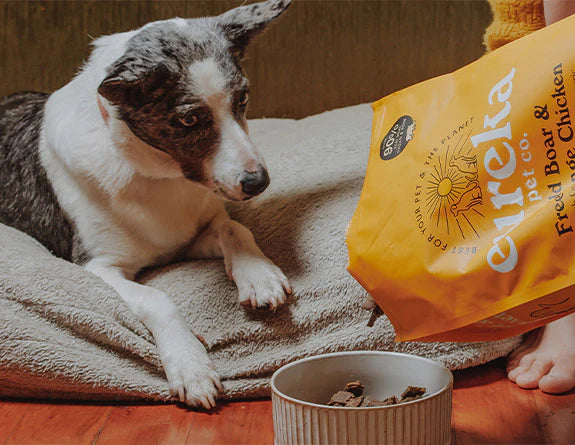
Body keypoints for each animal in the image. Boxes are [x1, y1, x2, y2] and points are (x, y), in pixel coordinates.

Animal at [0, 0, 294, 410]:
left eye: (242, 99)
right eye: (189, 119)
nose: (258, 183)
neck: (160, 176)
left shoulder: (191, 237)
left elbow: (233, 226)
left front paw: (259, 275)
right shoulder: (98, 267)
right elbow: (158, 299)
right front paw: (190, 365)